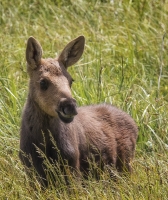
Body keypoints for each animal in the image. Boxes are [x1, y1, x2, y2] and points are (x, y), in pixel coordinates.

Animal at [19, 35, 138, 187]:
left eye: (71, 80)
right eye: (43, 82)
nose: (69, 105)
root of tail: (134, 123)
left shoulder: (73, 165)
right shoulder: (31, 170)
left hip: (126, 164)